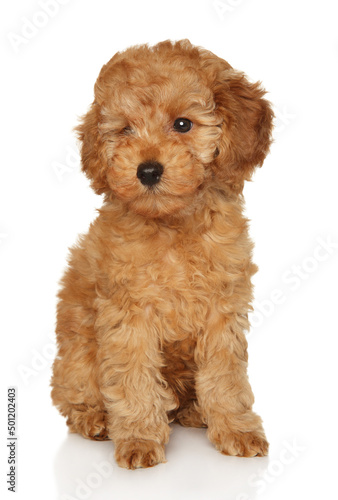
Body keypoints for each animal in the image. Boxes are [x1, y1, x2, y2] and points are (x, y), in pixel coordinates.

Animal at [51, 39, 274, 468]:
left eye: (183, 124)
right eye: (125, 129)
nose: (148, 171)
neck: (174, 224)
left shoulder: (223, 310)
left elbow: (225, 375)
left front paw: (235, 429)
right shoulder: (129, 312)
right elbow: (133, 376)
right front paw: (139, 438)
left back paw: (194, 412)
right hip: (76, 358)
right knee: (71, 395)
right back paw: (97, 420)